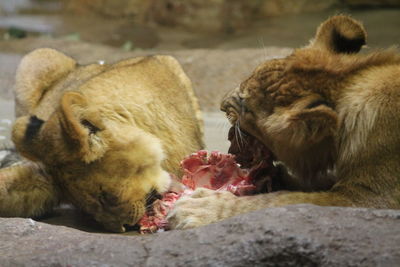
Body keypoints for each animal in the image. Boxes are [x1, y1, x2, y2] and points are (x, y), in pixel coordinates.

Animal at [168, 15, 400, 230]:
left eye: (246, 106)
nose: (222, 105)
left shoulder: (368, 199)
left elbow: (279, 201)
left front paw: (198, 207)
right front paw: (273, 178)